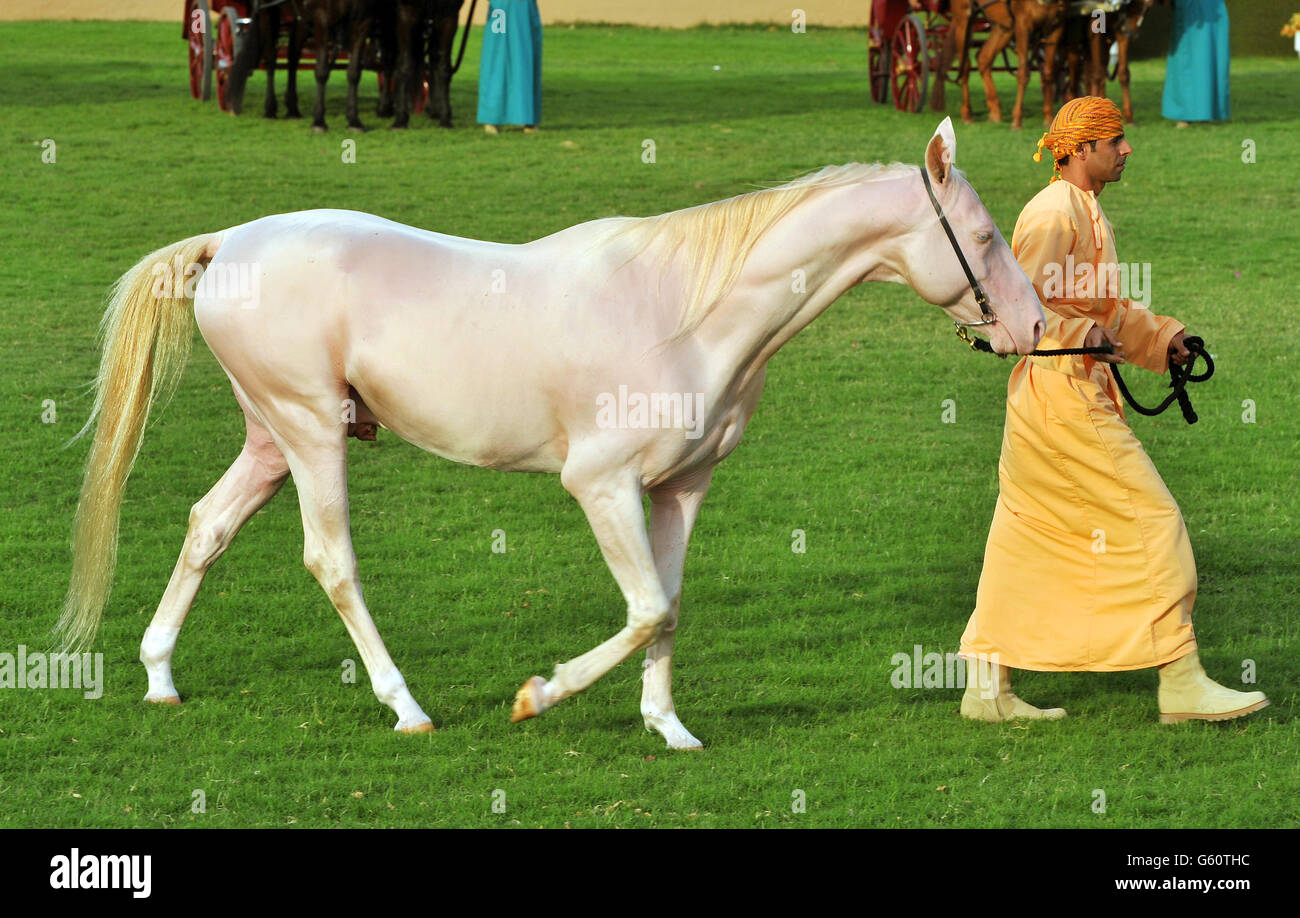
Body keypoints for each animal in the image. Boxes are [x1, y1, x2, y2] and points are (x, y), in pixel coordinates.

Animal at [61, 118, 1045, 748]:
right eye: (984, 237)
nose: (1035, 327)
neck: (686, 313)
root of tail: (227, 242)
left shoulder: (681, 489)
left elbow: (668, 606)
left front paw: (670, 729)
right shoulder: (601, 485)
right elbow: (644, 608)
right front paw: (538, 696)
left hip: (272, 439)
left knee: (208, 527)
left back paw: (159, 676)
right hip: (310, 434)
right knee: (330, 561)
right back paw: (406, 707)